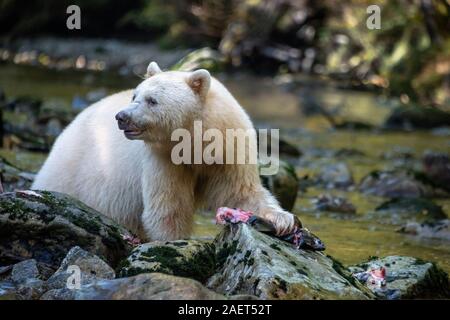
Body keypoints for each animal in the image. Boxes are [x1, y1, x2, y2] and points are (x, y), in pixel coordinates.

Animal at [33, 62, 298, 240]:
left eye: (152, 100)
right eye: (134, 95)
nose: (122, 117)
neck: (196, 144)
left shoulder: (229, 151)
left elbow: (241, 192)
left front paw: (283, 219)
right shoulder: (163, 159)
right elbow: (168, 207)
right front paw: (172, 241)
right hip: (73, 174)